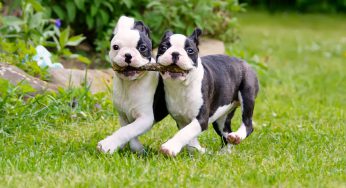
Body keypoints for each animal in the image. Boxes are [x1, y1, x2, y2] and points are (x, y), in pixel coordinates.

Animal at [97, 16, 168, 154]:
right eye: (115, 47)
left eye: (142, 48)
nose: (128, 55)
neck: (130, 84)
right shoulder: (123, 116)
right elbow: (128, 131)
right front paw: (136, 148)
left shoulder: (145, 118)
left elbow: (126, 131)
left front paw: (108, 144)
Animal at [157, 28, 260, 156]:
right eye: (163, 48)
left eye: (190, 50)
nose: (175, 53)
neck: (181, 86)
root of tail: (245, 62)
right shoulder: (181, 120)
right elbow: (189, 138)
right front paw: (199, 151)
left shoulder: (201, 119)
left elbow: (185, 132)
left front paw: (170, 147)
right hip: (221, 116)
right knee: (226, 132)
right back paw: (226, 151)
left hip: (247, 94)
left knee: (248, 124)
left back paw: (237, 136)